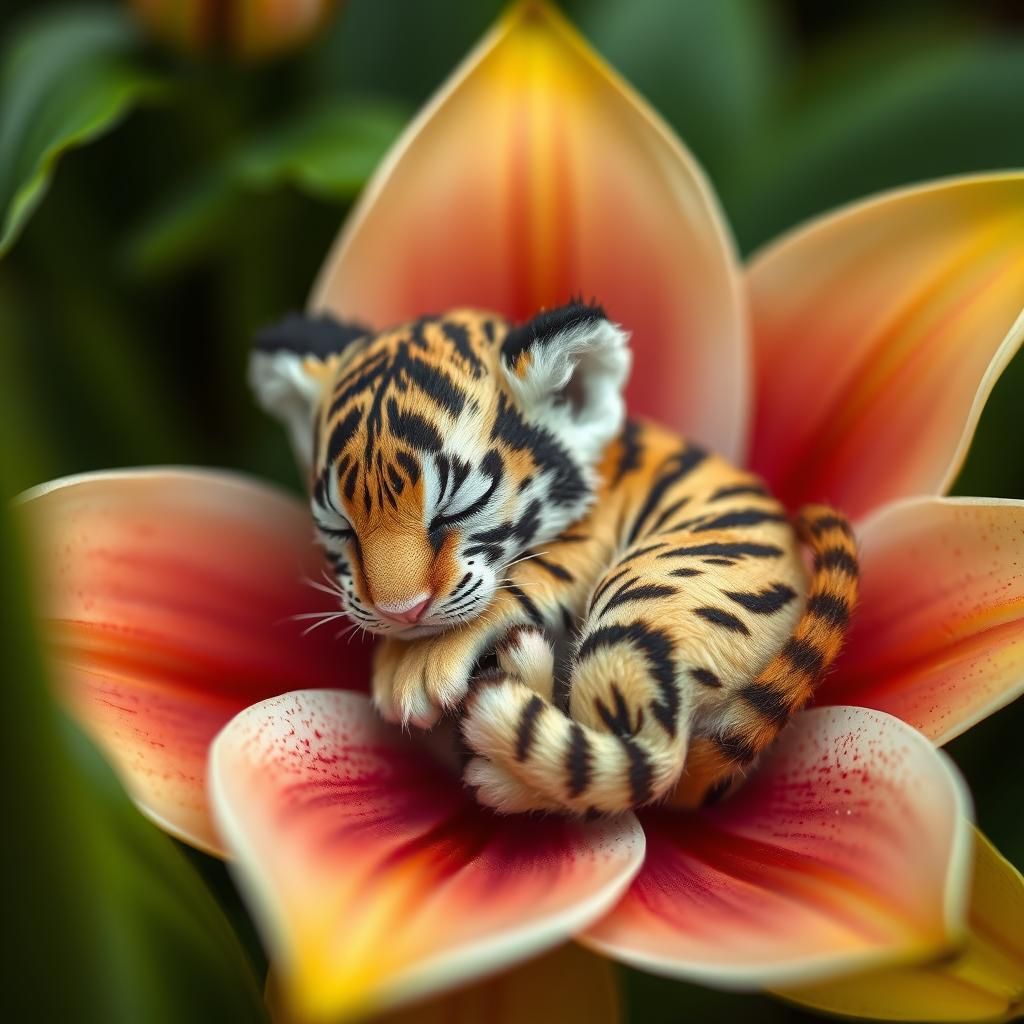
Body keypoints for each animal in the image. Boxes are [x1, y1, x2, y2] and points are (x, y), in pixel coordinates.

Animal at [250, 301, 858, 815]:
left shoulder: (586, 542)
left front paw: (414, 668)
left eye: (453, 510)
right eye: (340, 527)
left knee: (646, 762)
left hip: (646, 606)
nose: (400, 613)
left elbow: (521, 580)